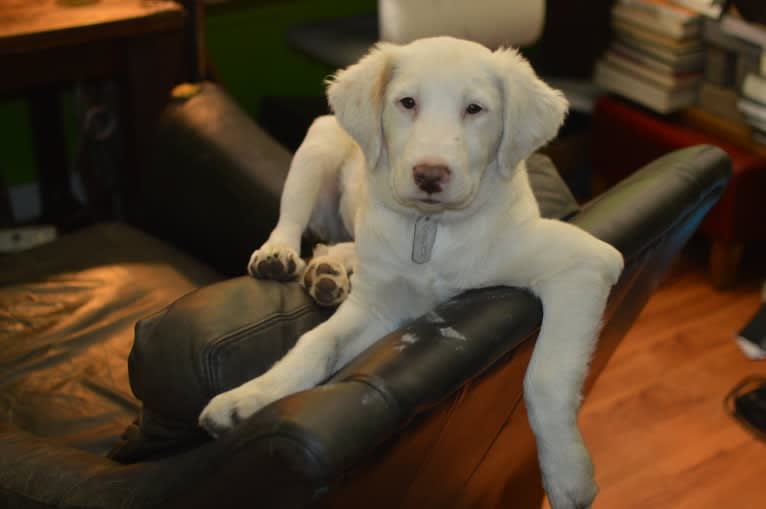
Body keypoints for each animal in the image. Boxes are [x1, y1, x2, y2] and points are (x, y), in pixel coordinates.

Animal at [201, 36, 628, 508]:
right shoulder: (376, 309)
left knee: (340, 244)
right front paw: (249, 397)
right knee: (293, 219)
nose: (429, 175)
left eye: (475, 109)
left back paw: (329, 269)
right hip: (318, 143)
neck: (431, 231)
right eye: (407, 102)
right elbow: (316, 343)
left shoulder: (585, 262)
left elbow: (545, 376)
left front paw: (568, 474)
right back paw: (283, 258)